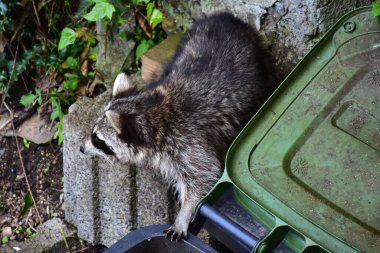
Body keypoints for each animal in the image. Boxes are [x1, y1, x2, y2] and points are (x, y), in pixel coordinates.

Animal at [81, 12, 276, 241]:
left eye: (97, 139)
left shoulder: (188, 141)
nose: (81, 148)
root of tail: (227, 16)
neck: (150, 109)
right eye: (93, 133)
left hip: (260, 63)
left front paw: (184, 213)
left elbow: (203, 176)